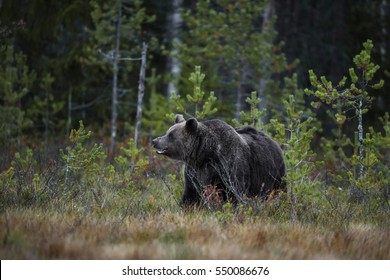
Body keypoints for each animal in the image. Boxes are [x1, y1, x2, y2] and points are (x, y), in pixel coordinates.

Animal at [153, 114, 286, 206]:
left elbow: (233, 193)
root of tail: (274, 142)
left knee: (278, 190)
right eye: (167, 131)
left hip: (273, 173)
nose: (154, 141)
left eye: (171, 135)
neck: (204, 153)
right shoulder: (194, 171)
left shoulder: (227, 167)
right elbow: (191, 193)